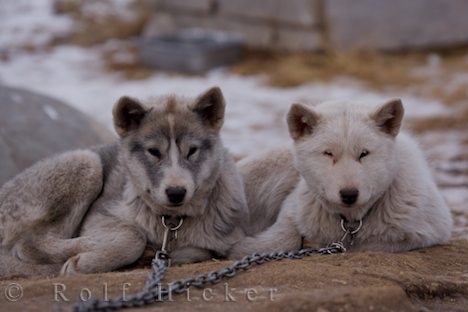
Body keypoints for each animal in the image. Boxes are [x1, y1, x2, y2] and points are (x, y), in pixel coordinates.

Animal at [0, 86, 247, 276]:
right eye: (154, 152)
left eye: (192, 151)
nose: (176, 192)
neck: (170, 222)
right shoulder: (100, 217)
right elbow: (133, 237)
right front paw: (85, 262)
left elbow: (197, 251)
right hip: (86, 162)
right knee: (29, 243)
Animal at [229, 98, 450, 258]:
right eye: (328, 154)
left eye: (364, 154)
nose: (349, 194)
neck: (350, 224)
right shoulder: (292, 212)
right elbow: (284, 239)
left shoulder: (428, 231)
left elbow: (376, 243)